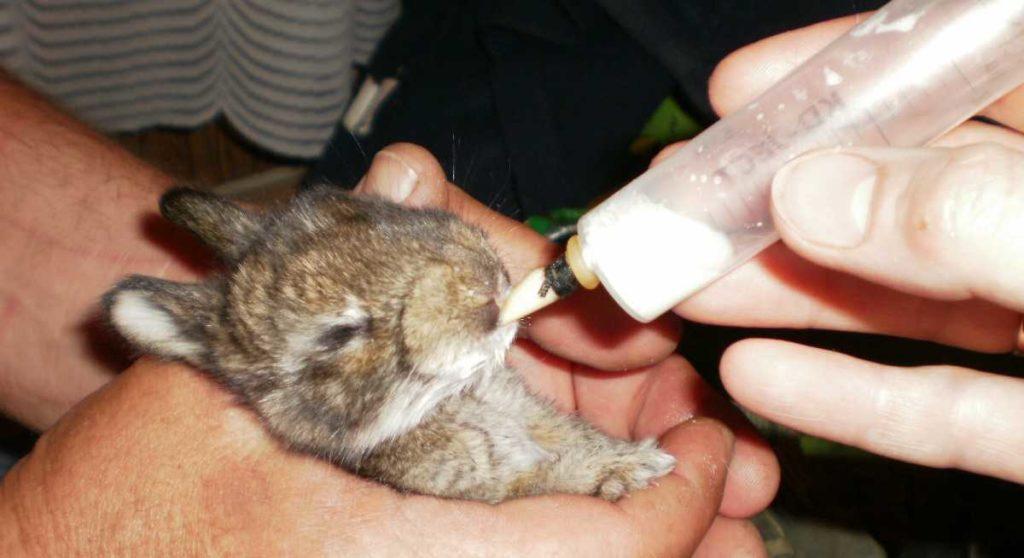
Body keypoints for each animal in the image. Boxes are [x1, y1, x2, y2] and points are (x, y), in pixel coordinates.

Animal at [103, 185, 675, 503]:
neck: (445, 402)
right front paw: (632, 470)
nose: (483, 281)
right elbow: (542, 478)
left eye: (373, 209)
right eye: (338, 334)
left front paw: (630, 457)